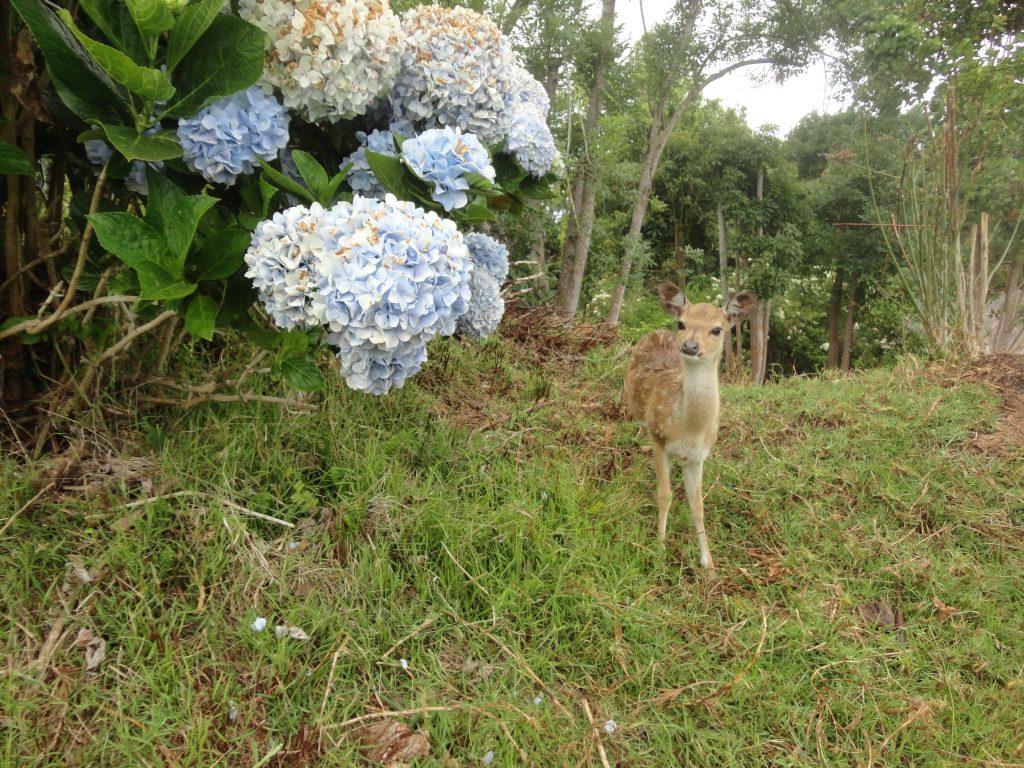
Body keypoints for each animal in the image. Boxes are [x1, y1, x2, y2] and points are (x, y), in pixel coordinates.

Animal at [624, 283, 756, 571]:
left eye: (717, 329)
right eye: (682, 323)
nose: (690, 345)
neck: (690, 429)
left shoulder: (698, 457)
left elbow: (698, 505)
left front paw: (709, 564)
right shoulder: (660, 439)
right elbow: (665, 496)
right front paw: (659, 550)